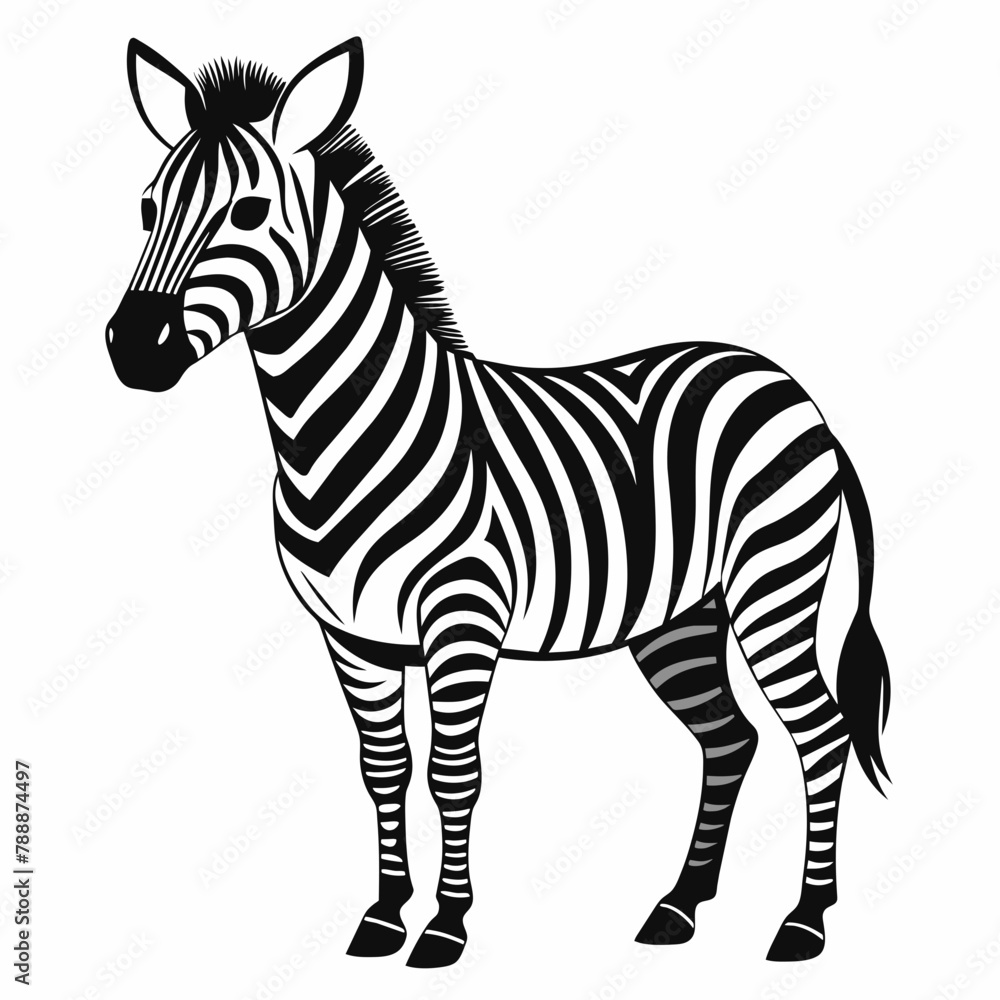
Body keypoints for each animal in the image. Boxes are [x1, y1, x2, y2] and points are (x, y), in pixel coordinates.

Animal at [107, 37, 891, 969]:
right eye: (146, 207)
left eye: (252, 210)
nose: (132, 348)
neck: (336, 437)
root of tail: (789, 386)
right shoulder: (352, 637)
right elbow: (385, 769)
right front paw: (383, 916)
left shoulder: (462, 617)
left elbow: (454, 772)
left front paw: (445, 927)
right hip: (681, 615)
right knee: (729, 736)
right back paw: (679, 906)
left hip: (775, 583)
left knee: (820, 732)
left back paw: (803, 920)